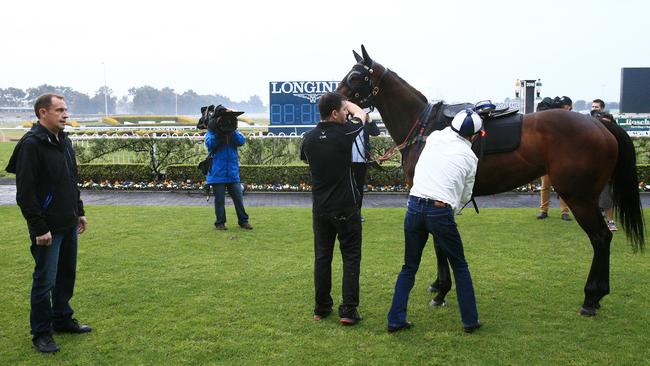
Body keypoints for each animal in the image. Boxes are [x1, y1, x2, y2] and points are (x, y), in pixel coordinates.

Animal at [340, 45, 644, 314]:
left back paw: (592, 297)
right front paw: (438, 285)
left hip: (579, 196)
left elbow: (438, 242)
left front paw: (441, 291)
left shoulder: (433, 193)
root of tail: (599, 123)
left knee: (601, 237)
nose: (333, 98)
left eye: (355, 77)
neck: (425, 127)